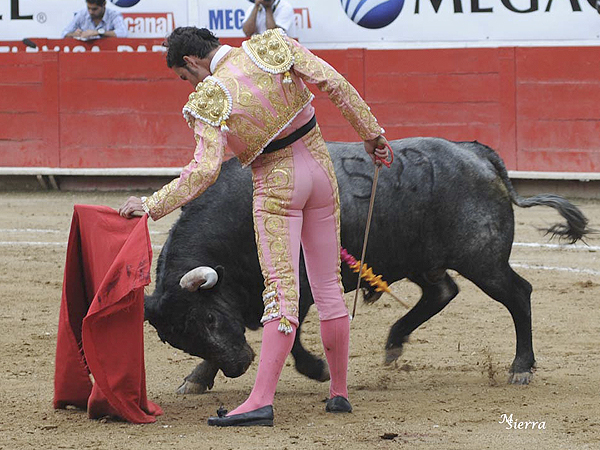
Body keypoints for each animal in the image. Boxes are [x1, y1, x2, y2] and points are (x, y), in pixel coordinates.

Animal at [144, 137, 591, 394]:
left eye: (209, 320)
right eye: (177, 339)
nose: (239, 367)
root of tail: (475, 153)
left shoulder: (301, 284)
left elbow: (295, 332)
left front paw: (318, 369)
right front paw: (197, 379)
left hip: (482, 259)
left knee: (518, 295)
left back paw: (521, 368)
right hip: (418, 257)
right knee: (442, 292)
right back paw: (394, 343)